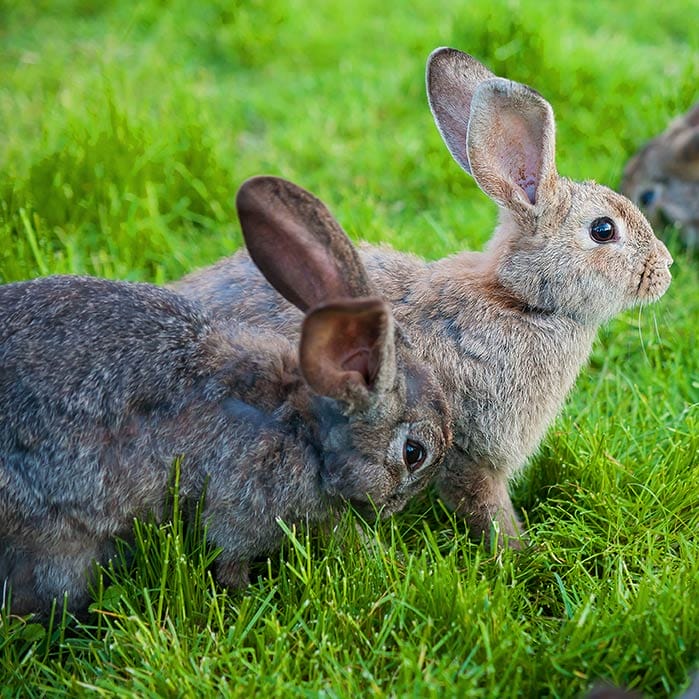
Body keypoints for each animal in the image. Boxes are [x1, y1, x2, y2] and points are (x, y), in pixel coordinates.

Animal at [0, 176, 454, 616]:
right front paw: (248, 595)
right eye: (414, 453)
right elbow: (229, 557)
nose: (393, 508)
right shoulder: (239, 510)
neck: (304, 429)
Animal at [172, 49, 676, 548]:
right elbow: (485, 505)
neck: (519, 299)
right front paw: (518, 551)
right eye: (603, 229)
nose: (666, 268)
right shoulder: (469, 452)